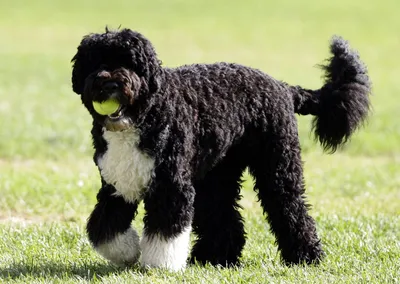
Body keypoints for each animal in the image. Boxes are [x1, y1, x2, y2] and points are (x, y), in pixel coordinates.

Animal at [70, 28, 370, 270]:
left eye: (131, 63)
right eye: (97, 61)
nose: (110, 83)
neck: (146, 114)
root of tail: (284, 87)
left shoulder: (171, 185)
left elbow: (165, 232)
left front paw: (160, 265)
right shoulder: (116, 185)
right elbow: (103, 229)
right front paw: (129, 252)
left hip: (278, 167)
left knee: (291, 209)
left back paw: (305, 257)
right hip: (217, 175)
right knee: (225, 217)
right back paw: (215, 257)